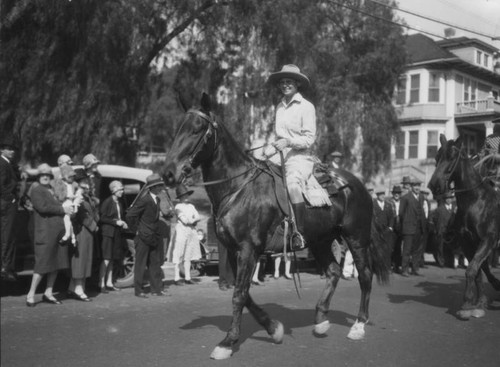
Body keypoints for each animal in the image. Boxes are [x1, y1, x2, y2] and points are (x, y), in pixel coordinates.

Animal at [162, 93, 392, 360]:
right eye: (179, 128)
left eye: (197, 129)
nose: (168, 174)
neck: (238, 187)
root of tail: (358, 184)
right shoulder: (234, 250)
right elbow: (245, 295)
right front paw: (273, 328)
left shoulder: (248, 249)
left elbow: (239, 295)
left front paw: (228, 342)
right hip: (321, 240)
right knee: (334, 271)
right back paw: (321, 319)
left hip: (356, 238)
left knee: (365, 276)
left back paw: (358, 325)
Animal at [426, 134, 500, 320]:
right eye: (437, 157)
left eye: (452, 157)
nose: (434, 185)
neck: (474, 201)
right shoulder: (467, 242)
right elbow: (478, 270)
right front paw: (478, 302)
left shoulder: (489, 239)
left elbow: (473, 268)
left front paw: (468, 302)